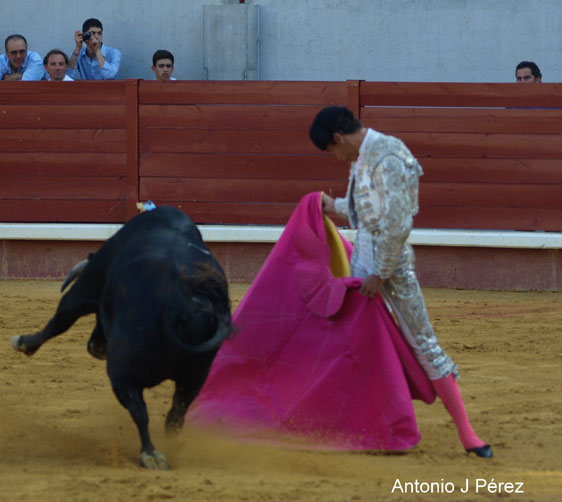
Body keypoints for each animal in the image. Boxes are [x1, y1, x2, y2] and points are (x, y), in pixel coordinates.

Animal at [9, 206, 232, 468]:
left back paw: (150, 453)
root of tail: (181, 299)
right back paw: (169, 448)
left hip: (122, 372)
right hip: (195, 376)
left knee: (139, 410)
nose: (96, 347)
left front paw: (23, 342)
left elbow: (60, 320)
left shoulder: (86, 286)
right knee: (175, 415)